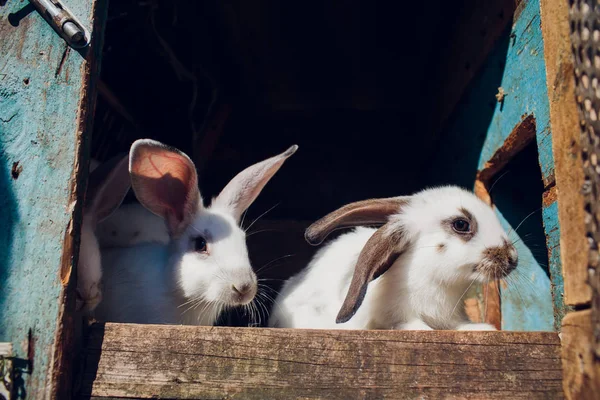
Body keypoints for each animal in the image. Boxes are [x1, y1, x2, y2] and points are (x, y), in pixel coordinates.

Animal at [270, 187, 516, 332]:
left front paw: (481, 328)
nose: (512, 258)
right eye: (461, 224)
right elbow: (408, 325)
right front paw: (422, 328)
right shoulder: (389, 317)